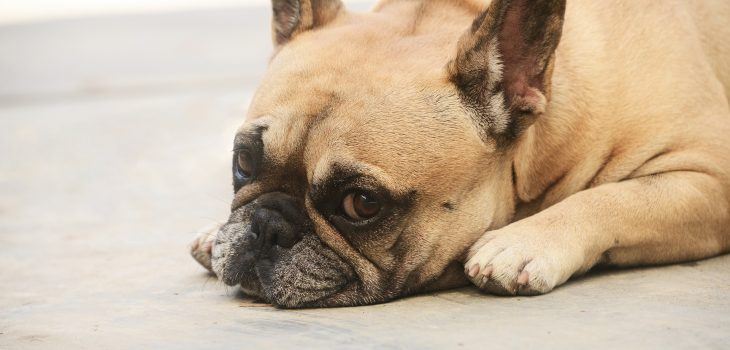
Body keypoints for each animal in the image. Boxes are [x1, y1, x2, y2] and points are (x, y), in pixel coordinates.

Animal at [189, 0, 728, 306]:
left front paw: (524, 241)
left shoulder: (714, 176)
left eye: (361, 204)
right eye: (243, 163)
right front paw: (216, 233)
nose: (267, 226)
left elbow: (615, 198)